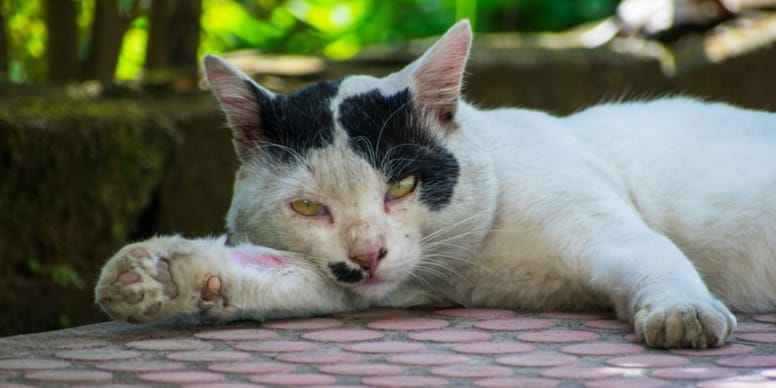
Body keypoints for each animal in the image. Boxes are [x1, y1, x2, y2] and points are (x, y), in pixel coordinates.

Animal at [97, 20, 776, 348]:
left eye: (401, 187)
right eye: (309, 207)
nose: (367, 254)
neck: (479, 266)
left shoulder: (607, 231)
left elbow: (657, 259)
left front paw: (684, 312)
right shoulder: (374, 288)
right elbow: (275, 278)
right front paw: (159, 278)